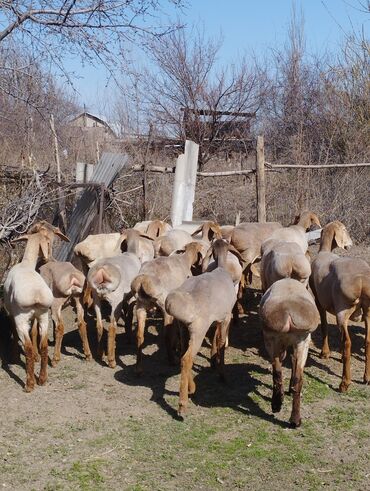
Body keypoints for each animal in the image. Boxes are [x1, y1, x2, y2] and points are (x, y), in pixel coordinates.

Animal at [3, 224, 69, 392]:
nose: (46, 258)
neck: (26, 263)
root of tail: (37, 295)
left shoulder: (12, 313)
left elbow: (15, 334)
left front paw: (14, 356)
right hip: (44, 316)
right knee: (44, 345)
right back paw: (43, 379)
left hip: (22, 318)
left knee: (28, 347)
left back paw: (29, 383)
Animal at [131, 241, 205, 372]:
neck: (185, 259)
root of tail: (143, 280)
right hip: (164, 307)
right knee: (166, 336)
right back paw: (172, 360)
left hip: (140, 307)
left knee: (139, 336)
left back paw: (138, 367)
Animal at [165, 266, 236, 416]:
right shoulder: (226, 317)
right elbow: (221, 343)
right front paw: (223, 375)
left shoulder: (217, 320)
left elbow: (215, 338)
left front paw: (213, 361)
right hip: (199, 330)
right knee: (187, 359)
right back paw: (182, 405)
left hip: (183, 328)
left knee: (183, 355)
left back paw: (191, 389)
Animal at [258, 278, 320, 428]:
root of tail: (288, 312)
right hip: (302, 340)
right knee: (295, 376)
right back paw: (294, 418)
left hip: (273, 340)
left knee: (278, 372)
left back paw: (279, 406)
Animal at [310, 222, 370, 392]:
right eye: (345, 229)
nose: (351, 244)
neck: (324, 251)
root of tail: (362, 282)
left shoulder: (319, 300)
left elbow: (324, 325)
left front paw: (324, 353)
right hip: (367, 311)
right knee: (367, 341)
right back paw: (366, 378)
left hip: (342, 311)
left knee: (347, 343)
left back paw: (344, 383)